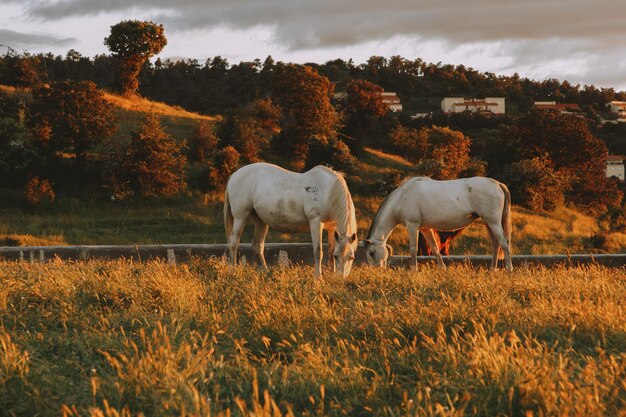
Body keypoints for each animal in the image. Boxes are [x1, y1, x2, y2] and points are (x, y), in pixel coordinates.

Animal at [223, 162, 356, 276]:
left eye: (351, 257)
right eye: (337, 256)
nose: (341, 278)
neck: (329, 192)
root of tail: (234, 175)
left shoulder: (332, 228)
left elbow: (330, 250)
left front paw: (331, 273)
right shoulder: (316, 222)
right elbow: (318, 251)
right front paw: (318, 277)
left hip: (260, 221)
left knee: (257, 245)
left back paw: (266, 272)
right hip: (241, 217)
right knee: (234, 242)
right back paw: (232, 271)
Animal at [360, 177, 512, 272]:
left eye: (371, 253)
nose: (376, 271)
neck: (402, 197)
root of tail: (498, 183)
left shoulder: (412, 226)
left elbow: (413, 250)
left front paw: (413, 270)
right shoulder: (425, 229)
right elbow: (435, 249)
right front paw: (442, 269)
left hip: (493, 222)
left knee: (504, 244)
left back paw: (508, 269)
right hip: (488, 222)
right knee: (496, 245)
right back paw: (492, 270)